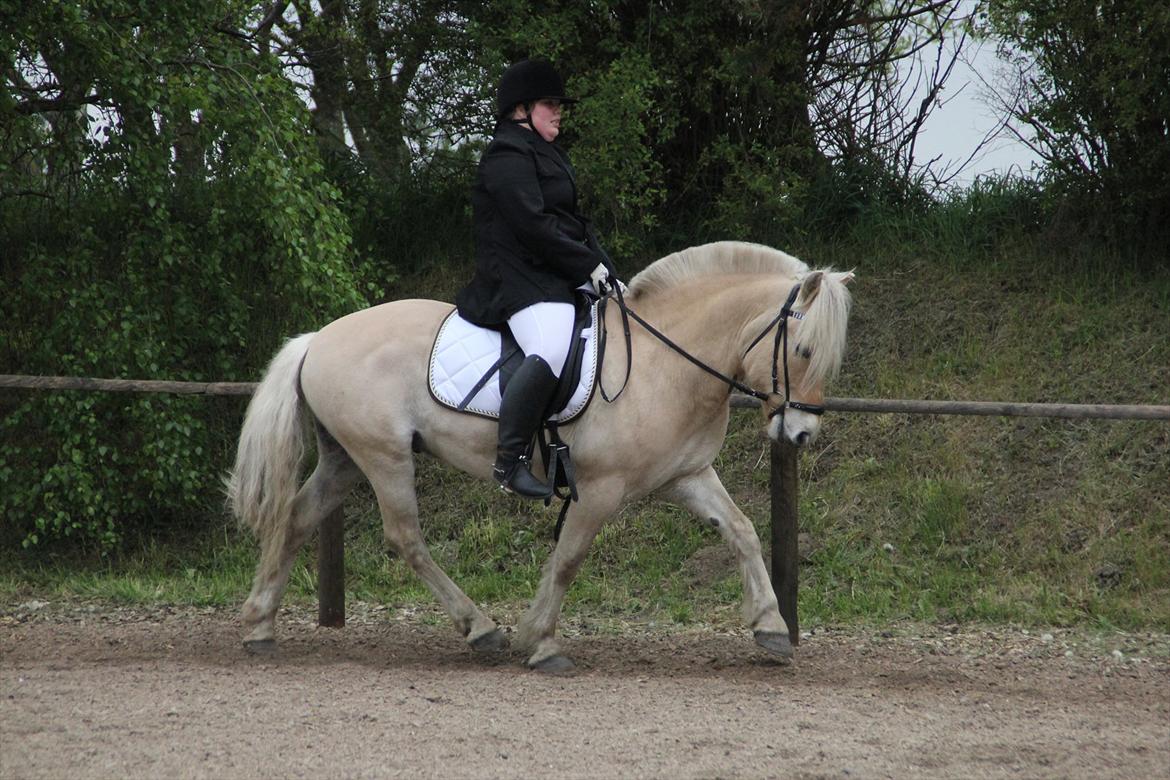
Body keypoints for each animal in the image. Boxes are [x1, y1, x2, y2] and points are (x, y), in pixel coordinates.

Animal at [225, 242, 851, 673]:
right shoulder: (601, 488)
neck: (666, 361)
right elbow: (570, 559)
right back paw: (479, 629)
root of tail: (317, 339)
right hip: (383, 457)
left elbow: (741, 530)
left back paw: (259, 627)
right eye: (802, 350)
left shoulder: (686, 475)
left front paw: (771, 628)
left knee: (297, 518)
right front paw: (541, 642)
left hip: (345, 458)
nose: (800, 435)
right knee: (405, 538)